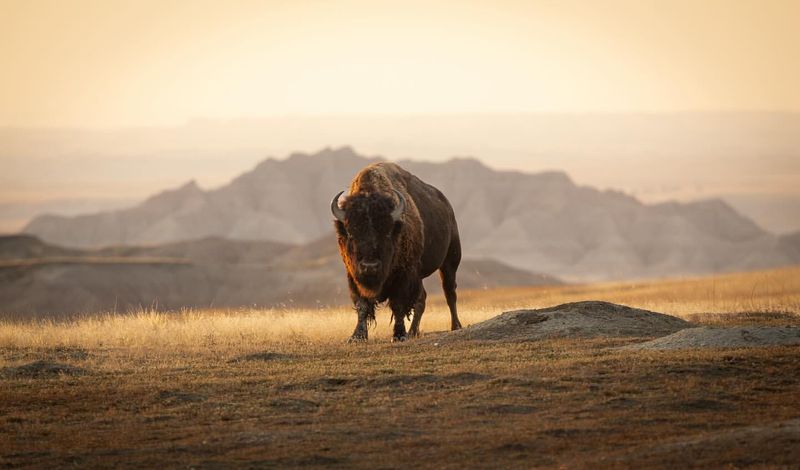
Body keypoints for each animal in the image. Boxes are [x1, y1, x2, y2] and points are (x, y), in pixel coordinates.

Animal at [332, 162, 462, 342]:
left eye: (387, 233)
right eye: (351, 234)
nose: (370, 266)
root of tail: (448, 208)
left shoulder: (403, 276)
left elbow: (398, 305)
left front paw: (399, 335)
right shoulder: (353, 276)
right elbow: (362, 305)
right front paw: (357, 337)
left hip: (449, 262)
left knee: (449, 293)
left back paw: (455, 326)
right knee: (422, 299)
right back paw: (413, 331)